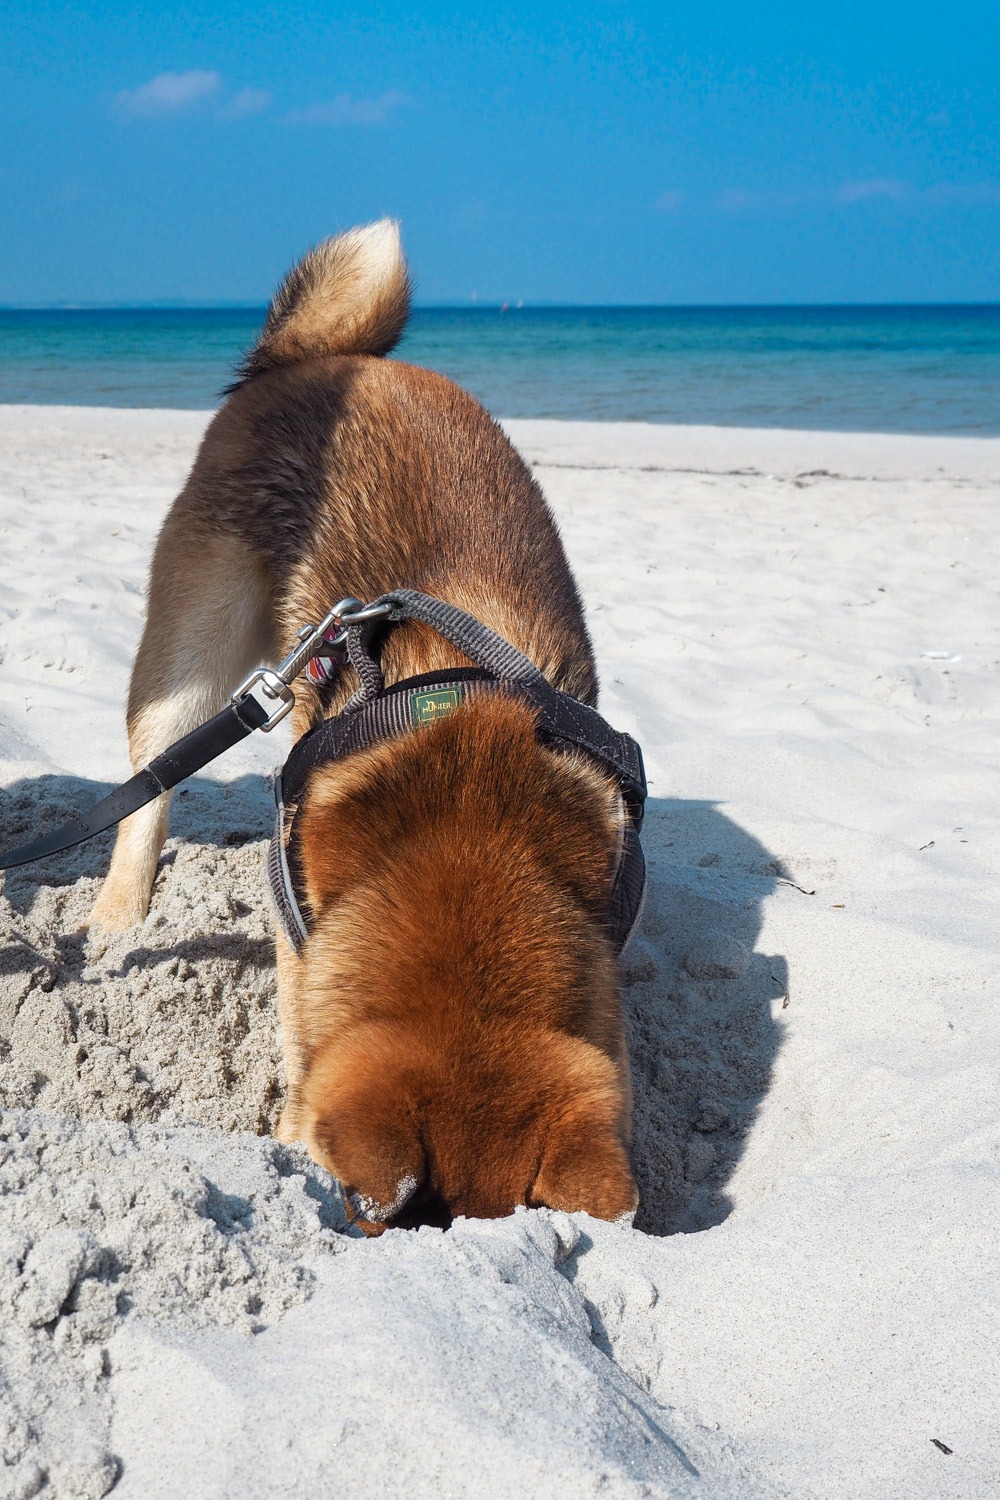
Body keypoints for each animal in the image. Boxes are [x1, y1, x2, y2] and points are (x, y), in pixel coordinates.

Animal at [93, 219, 641, 1230]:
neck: (472, 822)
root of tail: (322, 357)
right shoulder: (291, 908)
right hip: (193, 652)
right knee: (148, 787)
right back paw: (120, 915)